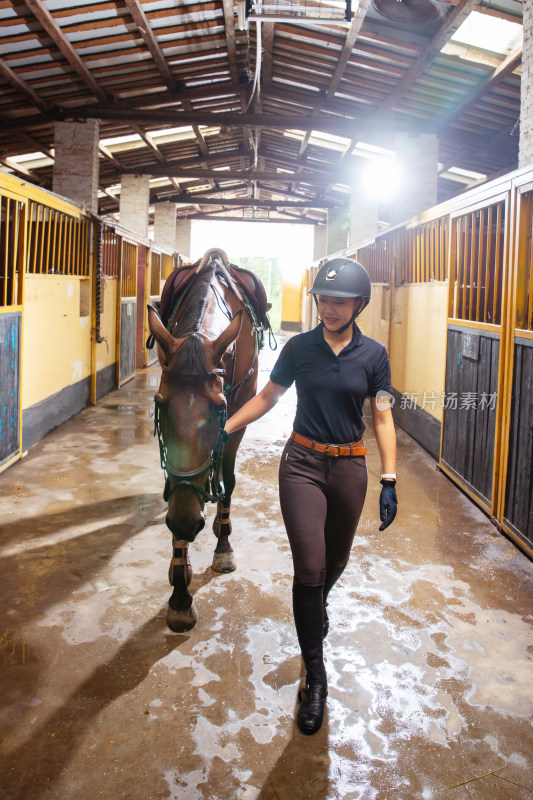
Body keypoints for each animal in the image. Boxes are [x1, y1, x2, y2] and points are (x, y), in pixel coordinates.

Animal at [147, 248, 268, 632]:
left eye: (218, 409)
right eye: (159, 405)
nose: (187, 520)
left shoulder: (238, 415)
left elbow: (227, 479)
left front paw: (223, 547)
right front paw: (180, 592)